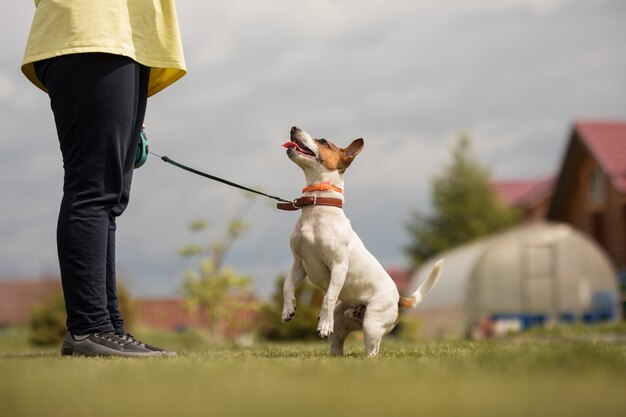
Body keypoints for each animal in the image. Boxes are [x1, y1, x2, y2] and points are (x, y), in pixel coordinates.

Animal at [280, 125, 442, 356]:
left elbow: (328, 296)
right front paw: (288, 309)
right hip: (341, 320)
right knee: (337, 345)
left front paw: (323, 325)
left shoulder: (338, 266)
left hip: (372, 324)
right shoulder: (300, 264)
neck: (318, 205)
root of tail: (398, 298)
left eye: (324, 141)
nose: (294, 127)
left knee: (373, 351)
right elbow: (287, 285)